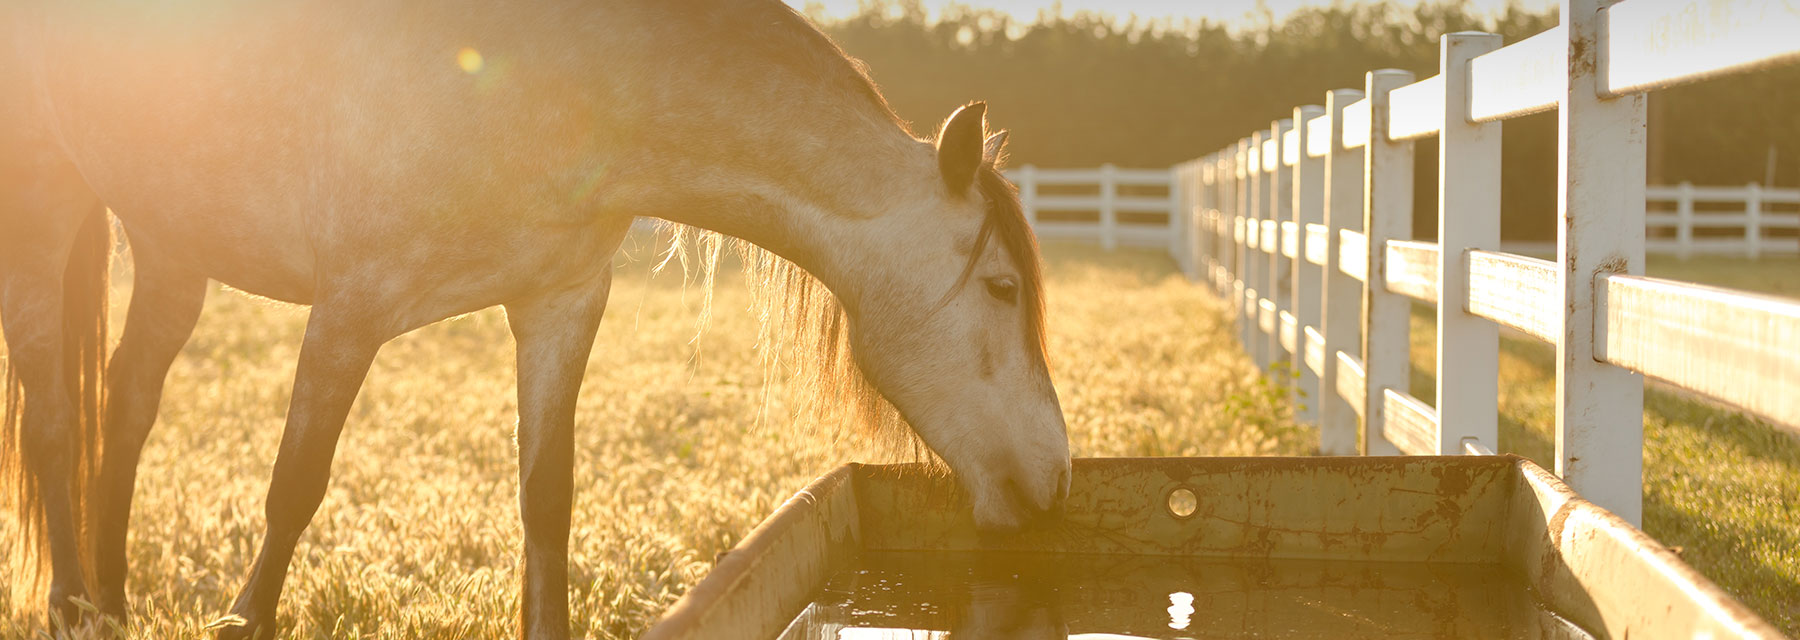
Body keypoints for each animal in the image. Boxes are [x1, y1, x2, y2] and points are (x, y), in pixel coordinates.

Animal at [0, 1, 1072, 637]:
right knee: (56, 418)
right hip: (43, 209)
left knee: (124, 412)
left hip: (171, 245)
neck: (549, 76)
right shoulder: (351, 309)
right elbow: (295, 487)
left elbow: (546, 501)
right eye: (1002, 289)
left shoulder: (559, 306)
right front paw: (244, 619)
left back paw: (113, 602)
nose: (1056, 479)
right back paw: (69, 603)